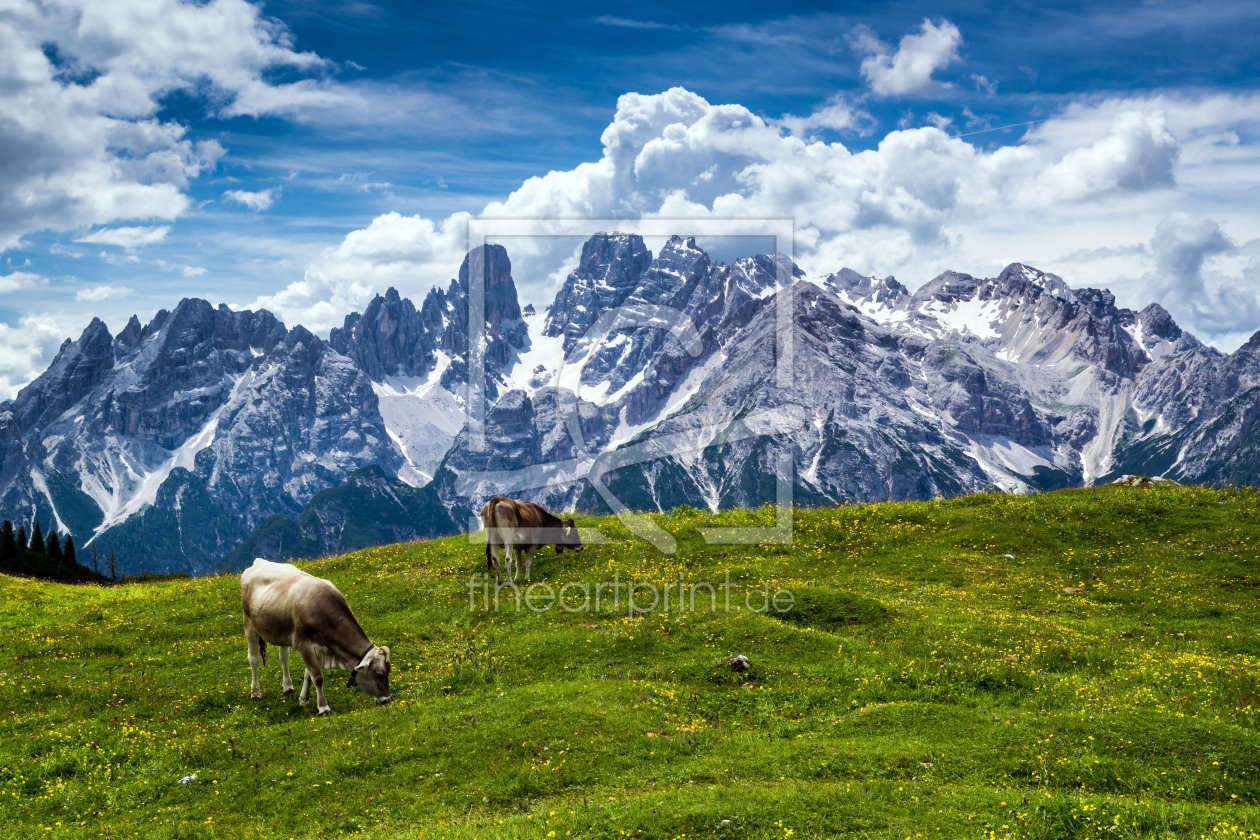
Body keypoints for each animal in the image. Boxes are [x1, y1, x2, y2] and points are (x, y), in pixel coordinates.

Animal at [238, 559, 390, 715]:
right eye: (379, 674)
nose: (387, 699)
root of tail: (259, 561)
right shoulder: (303, 644)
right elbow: (317, 677)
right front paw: (323, 707)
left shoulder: (316, 647)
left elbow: (308, 675)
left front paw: (304, 700)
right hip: (248, 622)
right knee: (254, 659)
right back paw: (255, 692)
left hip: (280, 628)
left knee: (283, 657)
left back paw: (287, 687)